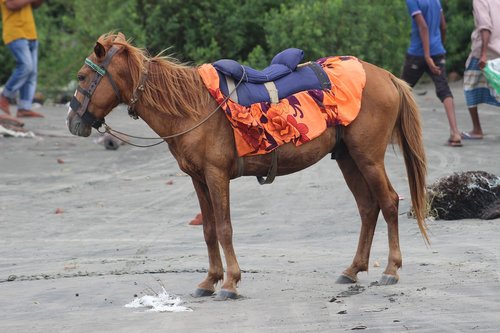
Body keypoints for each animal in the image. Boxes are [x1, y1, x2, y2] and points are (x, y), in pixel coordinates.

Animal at [65, 33, 426, 298]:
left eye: (82, 76)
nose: (72, 121)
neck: (192, 108)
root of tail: (386, 76)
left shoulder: (216, 175)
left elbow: (225, 228)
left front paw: (229, 282)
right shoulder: (198, 179)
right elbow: (209, 230)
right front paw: (209, 281)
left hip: (368, 157)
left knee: (388, 203)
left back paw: (390, 270)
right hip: (348, 158)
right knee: (368, 208)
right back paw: (352, 270)